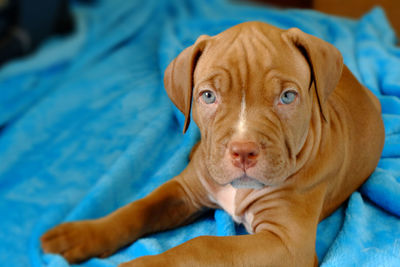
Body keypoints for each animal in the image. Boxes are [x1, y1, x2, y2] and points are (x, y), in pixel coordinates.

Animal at [40, 21, 384, 267]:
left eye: (287, 97)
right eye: (208, 96)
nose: (243, 151)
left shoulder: (287, 244)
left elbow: (203, 245)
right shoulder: (184, 191)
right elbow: (137, 209)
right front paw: (79, 235)